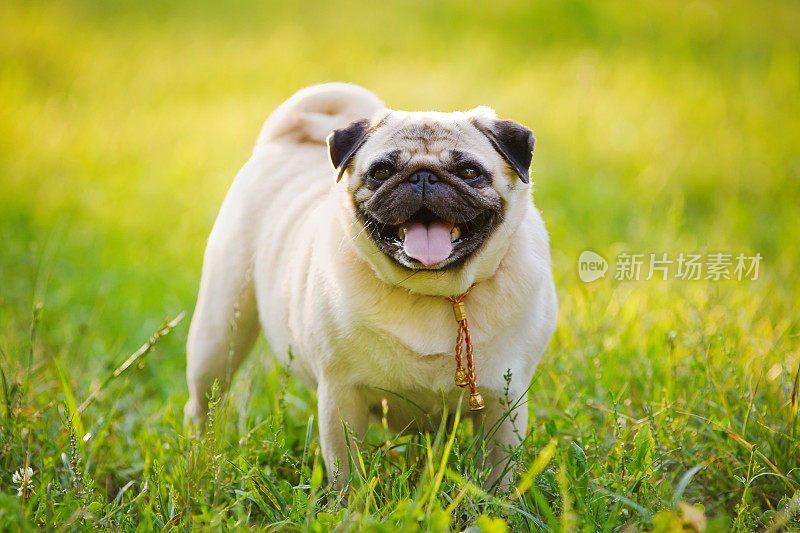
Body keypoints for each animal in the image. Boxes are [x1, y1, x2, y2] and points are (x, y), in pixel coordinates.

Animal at [185, 82, 556, 486]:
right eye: (382, 171)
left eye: (470, 171)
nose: (423, 177)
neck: (431, 290)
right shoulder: (342, 396)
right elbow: (346, 471)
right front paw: (349, 501)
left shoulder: (503, 404)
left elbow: (498, 475)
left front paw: (494, 501)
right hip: (218, 335)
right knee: (203, 401)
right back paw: (200, 460)